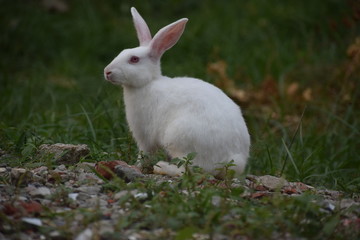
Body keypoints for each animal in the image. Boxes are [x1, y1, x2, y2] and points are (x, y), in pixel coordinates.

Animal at [105, 7, 250, 176]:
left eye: (134, 59)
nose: (107, 71)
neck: (147, 83)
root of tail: (232, 160)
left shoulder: (145, 137)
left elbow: (144, 154)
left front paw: (136, 167)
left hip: (179, 138)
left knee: (188, 169)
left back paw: (161, 167)